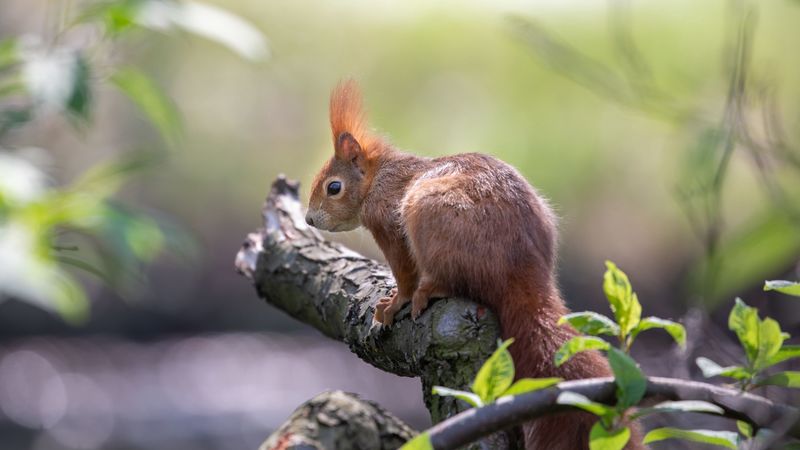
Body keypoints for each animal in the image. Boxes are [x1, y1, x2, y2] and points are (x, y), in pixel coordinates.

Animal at [305, 80, 643, 450]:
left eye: (333, 187)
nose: (309, 219)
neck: (378, 176)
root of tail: (520, 271)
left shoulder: (390, 225)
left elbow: (404, 272)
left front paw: (394, 302)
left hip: (427, 213)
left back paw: (429, 291)